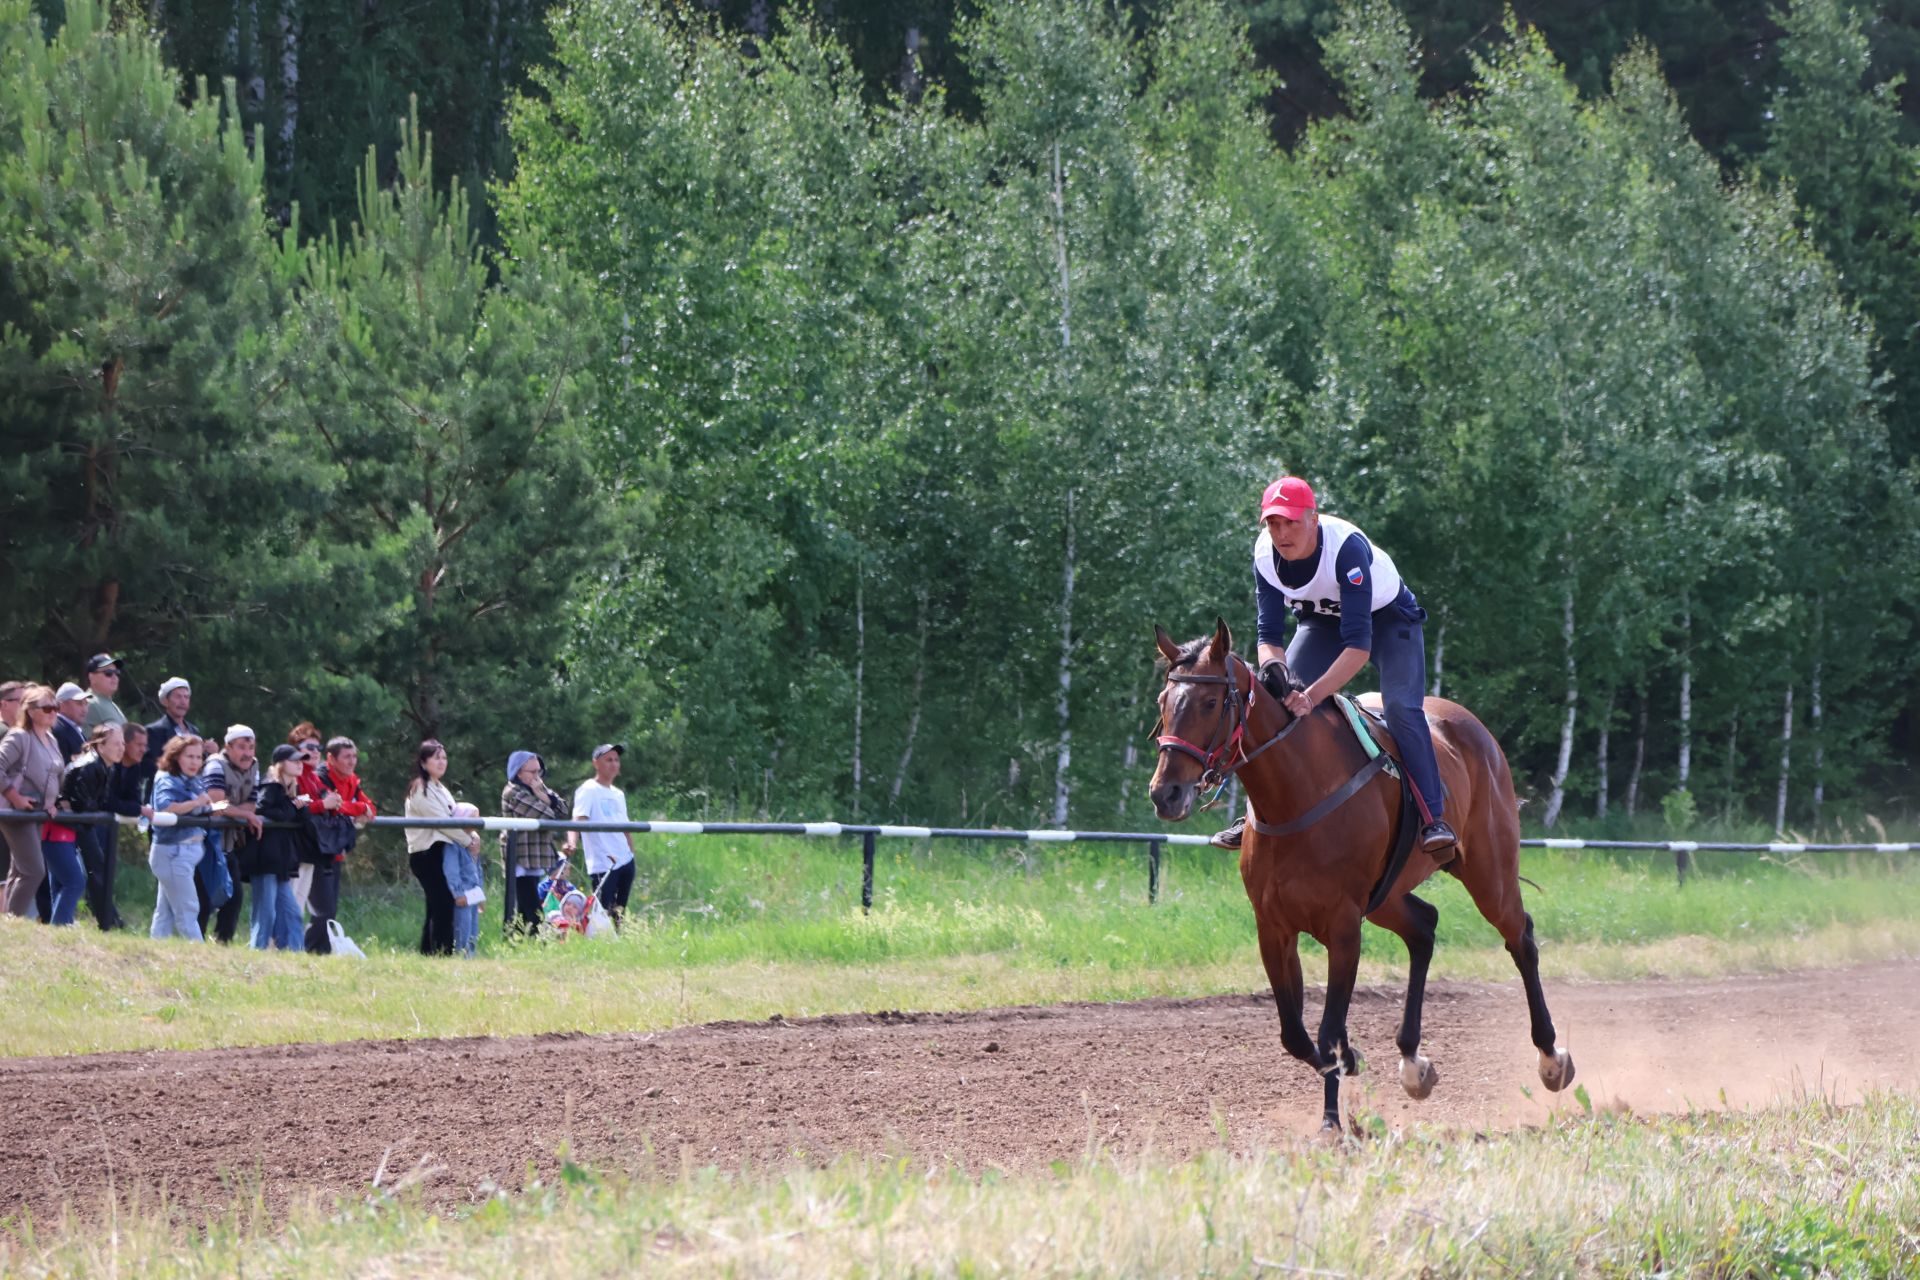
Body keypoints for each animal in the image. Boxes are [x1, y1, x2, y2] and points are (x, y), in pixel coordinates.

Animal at [1144, 621, 1566, 1128]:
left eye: (1210, 702)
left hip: (1490, 872)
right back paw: (1412, 1062)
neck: (1295, 795)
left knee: (1520, 938)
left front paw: (1332, 1119)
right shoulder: (1274, 927)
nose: (1165, 793)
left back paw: (1551, 1058)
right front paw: (1350, 1062)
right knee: (1424, 927)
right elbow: (1296, 1034)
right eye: (1163, 702)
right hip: (1387, 896)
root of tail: (1473, 730)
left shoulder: (1344, 927)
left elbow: (1327, 1029)